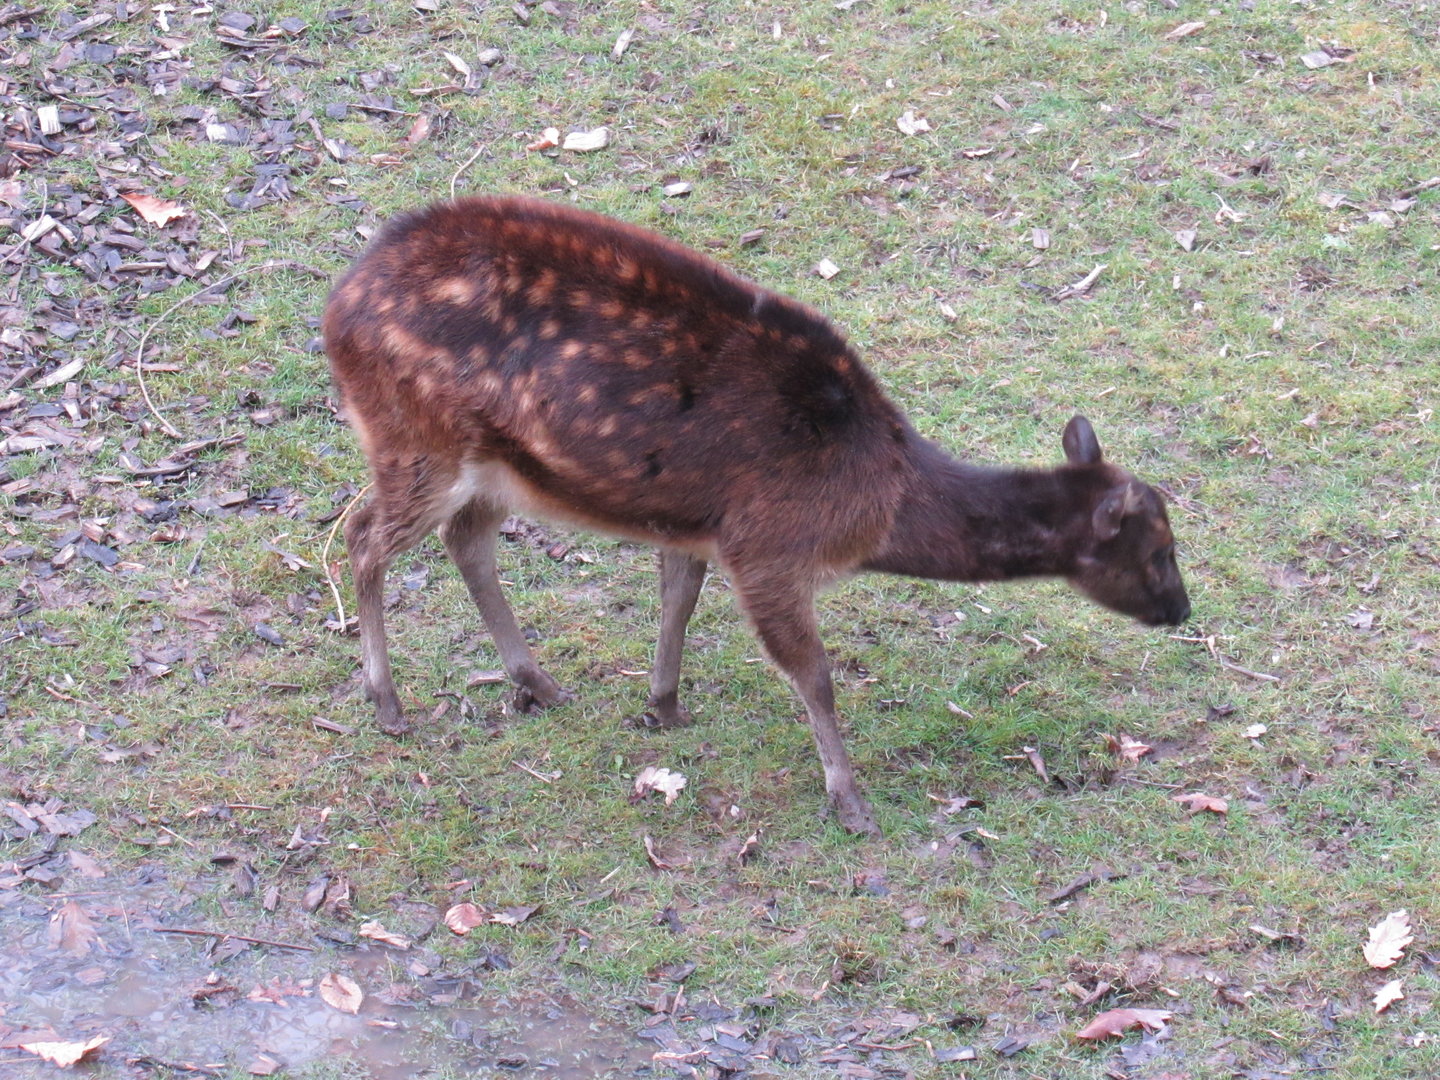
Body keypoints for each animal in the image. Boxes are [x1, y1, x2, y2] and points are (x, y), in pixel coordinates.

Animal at [324, 195, 1190, 837]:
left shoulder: (697, 523)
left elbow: (677, 599)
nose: (1181, 610)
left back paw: (537, 681)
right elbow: (815, 674)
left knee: (463, 537)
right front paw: (851, 801)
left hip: (494, 467)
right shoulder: (771, 544)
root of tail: (335, 309)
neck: (880, 505)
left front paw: (664, 705)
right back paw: (389, 704)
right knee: (362, 537)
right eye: (1159, 550)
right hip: (417, 438)